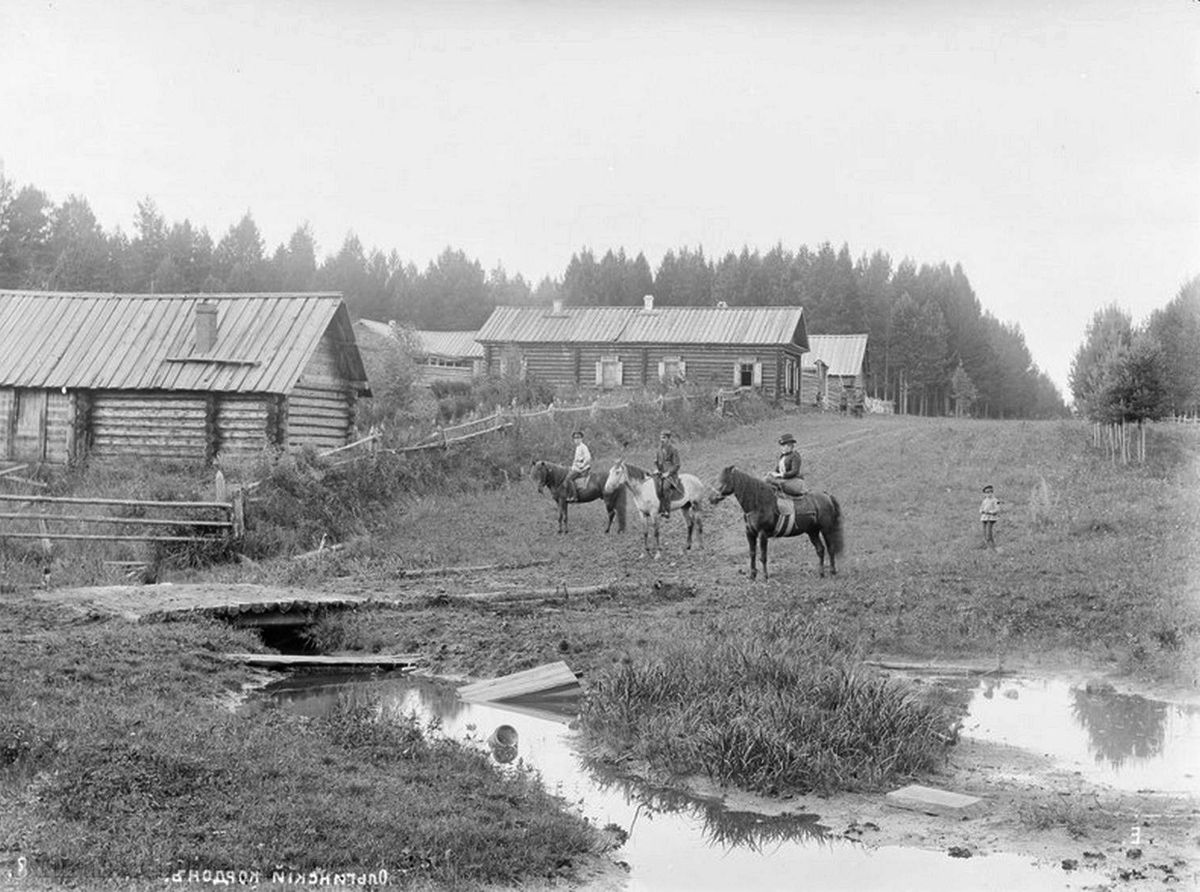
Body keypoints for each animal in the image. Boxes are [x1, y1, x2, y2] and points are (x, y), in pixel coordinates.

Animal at [710, 463, 844, 583]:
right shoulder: (750, 533)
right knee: (820, 549)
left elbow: (763, 556)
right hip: (812, 531)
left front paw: (765, 577)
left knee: (830, 548)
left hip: (826, 529)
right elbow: (752, 553)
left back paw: (832, 571)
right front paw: (752, 576)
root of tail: (827, 496)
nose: (711, 498)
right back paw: (821, 574)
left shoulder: (762, 534)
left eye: (723, 479)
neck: (758, 504)